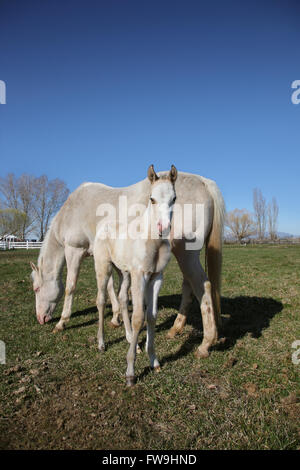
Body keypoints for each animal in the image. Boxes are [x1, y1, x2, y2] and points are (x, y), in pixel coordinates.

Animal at [31, 169, 225, 356]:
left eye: (36, 289)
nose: (40, 319)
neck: (72, 210)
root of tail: (204, 182)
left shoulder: (74, 251)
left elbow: (70, 287)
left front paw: (62, 322)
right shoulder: (104, 257)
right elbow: (111, 287)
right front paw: (116, 318)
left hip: (187, 255)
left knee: (202, 286)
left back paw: (205, 344)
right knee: (188, 286)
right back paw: (176, 329)